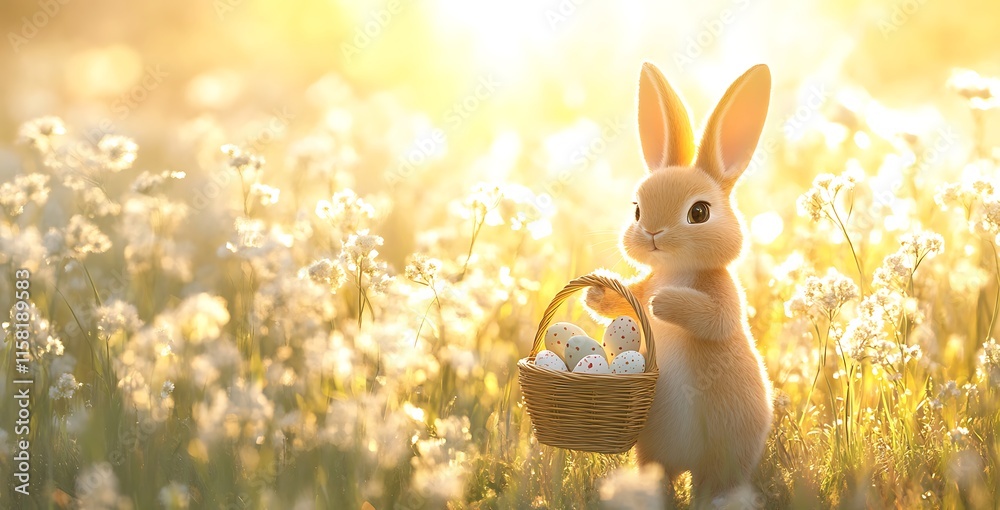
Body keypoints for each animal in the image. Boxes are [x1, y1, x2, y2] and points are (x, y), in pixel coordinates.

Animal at [584, 62, 774, 509]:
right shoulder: (645, 282)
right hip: (651, 449)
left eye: (699, 212)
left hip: (727, 450)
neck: (676, 271)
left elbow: (715, 319)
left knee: (715, 484)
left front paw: (663, 303)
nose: (652, 232)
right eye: (637, 210)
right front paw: (595, 294)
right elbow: (630, 298)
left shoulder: (723, 295)